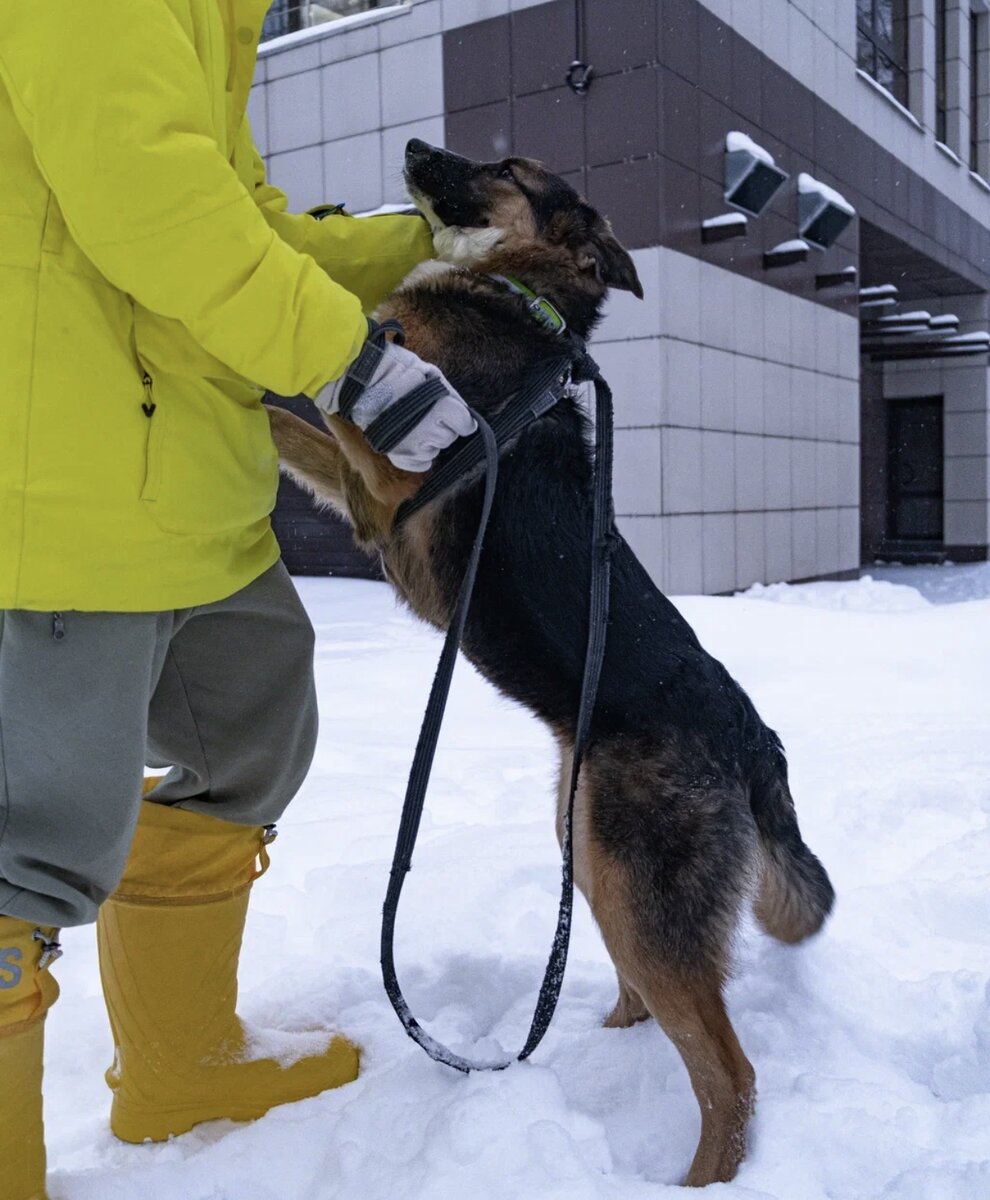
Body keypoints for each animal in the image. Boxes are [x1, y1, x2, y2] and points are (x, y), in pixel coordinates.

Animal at [264, 138, 835, 1180]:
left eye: (507, 168)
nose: (413, 147)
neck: (520, 299)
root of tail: (754, 742)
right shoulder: (366, 500)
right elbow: (292, 418)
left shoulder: (387, 480)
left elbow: (337, 384)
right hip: (594, 857)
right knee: (646, 1008)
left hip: (633, 889)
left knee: (728, 1073)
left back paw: (698, 1179)